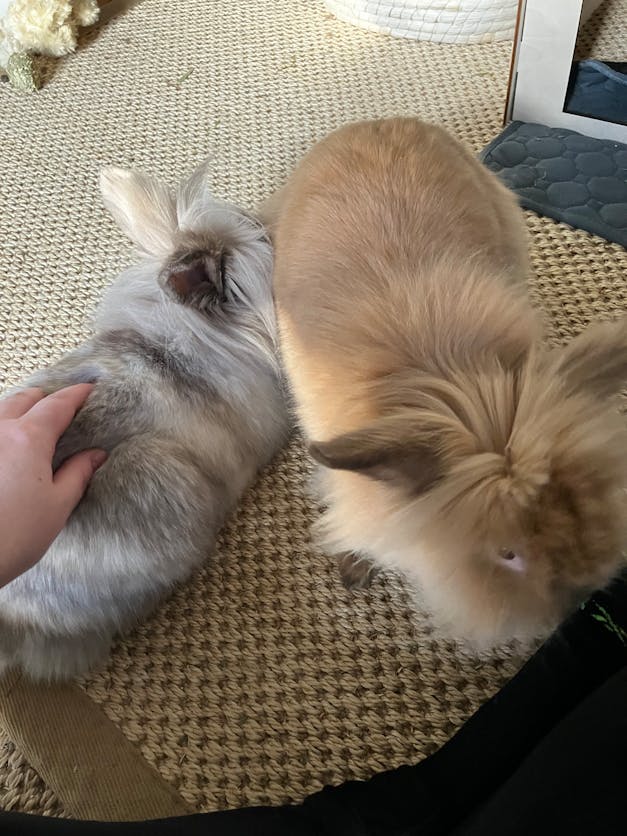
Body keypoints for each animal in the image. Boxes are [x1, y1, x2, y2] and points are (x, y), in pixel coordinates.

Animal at [266, 116, 627, 647]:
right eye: (507, 554)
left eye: (586, 506)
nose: (573, 606)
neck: (450, 377)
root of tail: (379, 122)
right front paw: (354, 568)